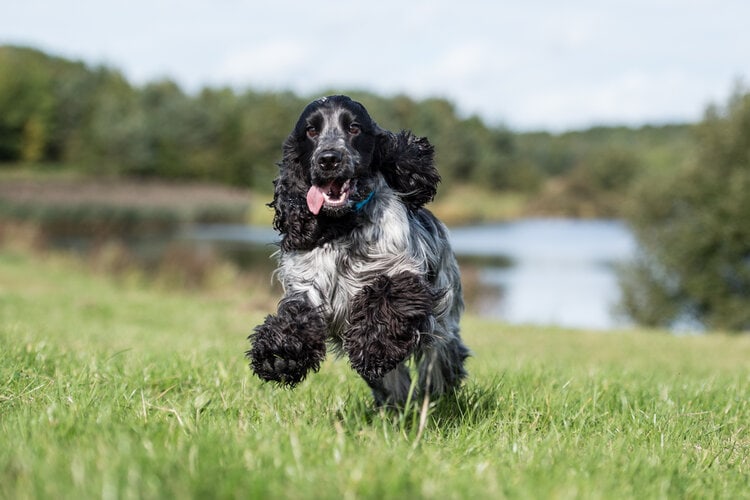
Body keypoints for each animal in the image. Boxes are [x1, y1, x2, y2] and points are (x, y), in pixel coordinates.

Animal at [248, 94, 470, 406]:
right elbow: (295, 315)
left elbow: (386, 301)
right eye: (311, 131)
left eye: (353, 128)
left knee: (439, 364)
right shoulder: (308, 285)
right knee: (396, 381)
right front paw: (278, 356)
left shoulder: (402, 274)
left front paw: (374, 347)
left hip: (443, 326)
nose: (329, 159)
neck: (343, 225)